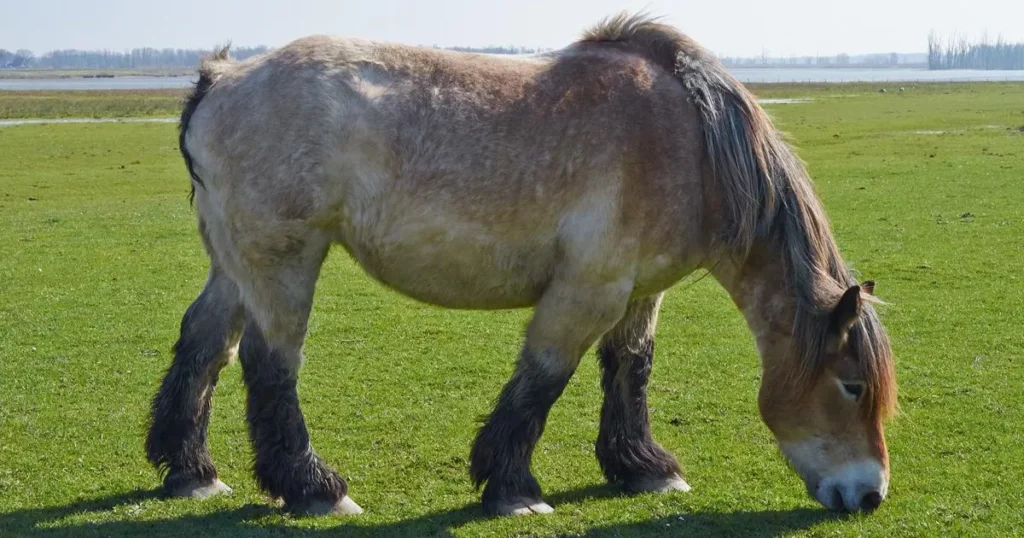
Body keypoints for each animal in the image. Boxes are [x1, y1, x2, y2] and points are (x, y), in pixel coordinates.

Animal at [144, 12, 897, 516]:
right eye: (852, 385)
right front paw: (512, 489)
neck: (690, 144)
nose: (870, 495)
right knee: (269, 364)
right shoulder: (588, 291)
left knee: (203, 347)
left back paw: (190, 473)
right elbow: (544, 378)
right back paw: (313, 488)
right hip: (284, 263)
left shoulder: (639, 292)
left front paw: (642, 468)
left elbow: (630, 371)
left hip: (235, 266)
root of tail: (222, 78)